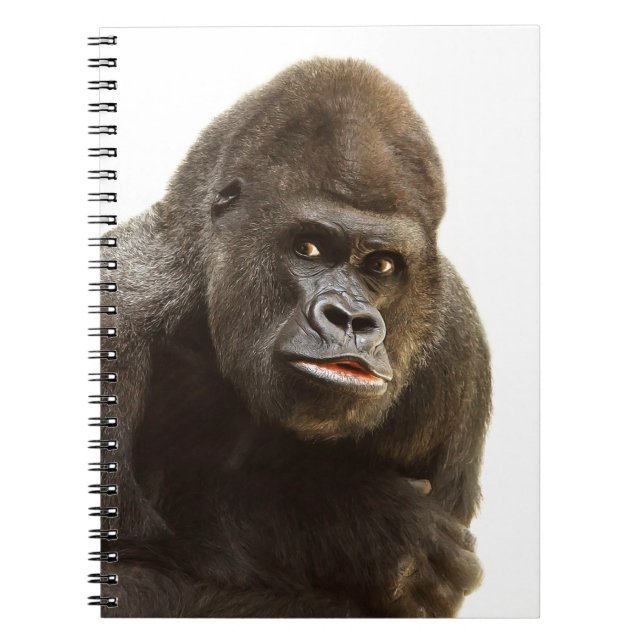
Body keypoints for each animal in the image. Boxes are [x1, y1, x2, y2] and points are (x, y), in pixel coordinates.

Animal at [98, 57, 492, 617]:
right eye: (308, 248)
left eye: (382, 265)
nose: (349, 319)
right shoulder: (122, 308)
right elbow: (127, 579)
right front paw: (359, 525)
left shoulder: (458, 348)